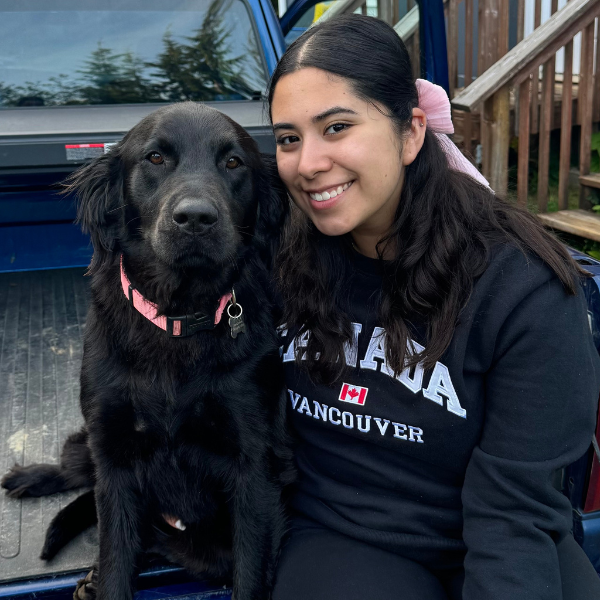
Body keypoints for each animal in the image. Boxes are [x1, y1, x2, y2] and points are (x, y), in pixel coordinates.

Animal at [1, 103, 292, 600]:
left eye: (234, 163)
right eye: (155, 158)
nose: (195, 218)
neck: (178, 318)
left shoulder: (254, 467)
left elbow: (249, 573)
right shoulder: (114, 454)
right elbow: (117, 553)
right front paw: (107, 578)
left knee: (159, 538)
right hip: (90, 438)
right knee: (77, 469)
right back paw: (29, 478)